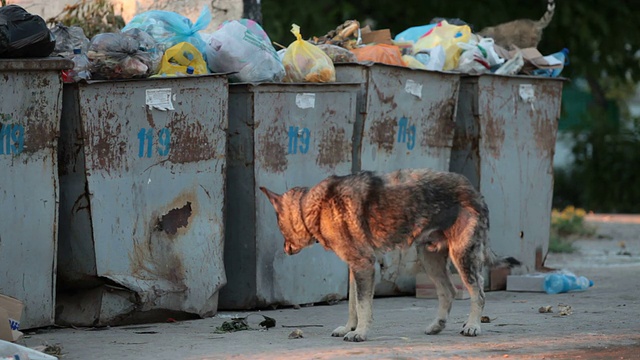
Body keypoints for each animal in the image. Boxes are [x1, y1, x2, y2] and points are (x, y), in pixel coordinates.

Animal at [260, 169, 520, 344]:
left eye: (280, 226)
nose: (285, 249)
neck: (314, 206)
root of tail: (474, 191)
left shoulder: (364, 266)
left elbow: (363, 305)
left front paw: (360, 333)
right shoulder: (355, 269)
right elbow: (353, 305)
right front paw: (349, 328)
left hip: (462, 256)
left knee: (479, 293)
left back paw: (473, 325)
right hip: (430, 259)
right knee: (449, 291)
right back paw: (437, 325)